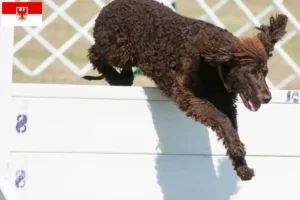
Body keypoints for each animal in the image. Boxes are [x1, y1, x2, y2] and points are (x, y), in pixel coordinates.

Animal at [82, 0, 288, 180]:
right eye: (250, 73)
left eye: (265, 73)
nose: (267, 98)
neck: (214, 66)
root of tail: (111, 4)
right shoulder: (188, 95)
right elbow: (221, 119)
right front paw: (238, 151)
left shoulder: (226, 103)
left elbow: (231, 127)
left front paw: (241, 165)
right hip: (117, 47)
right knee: (96, 54)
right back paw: (114, 76)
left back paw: (122, 78)